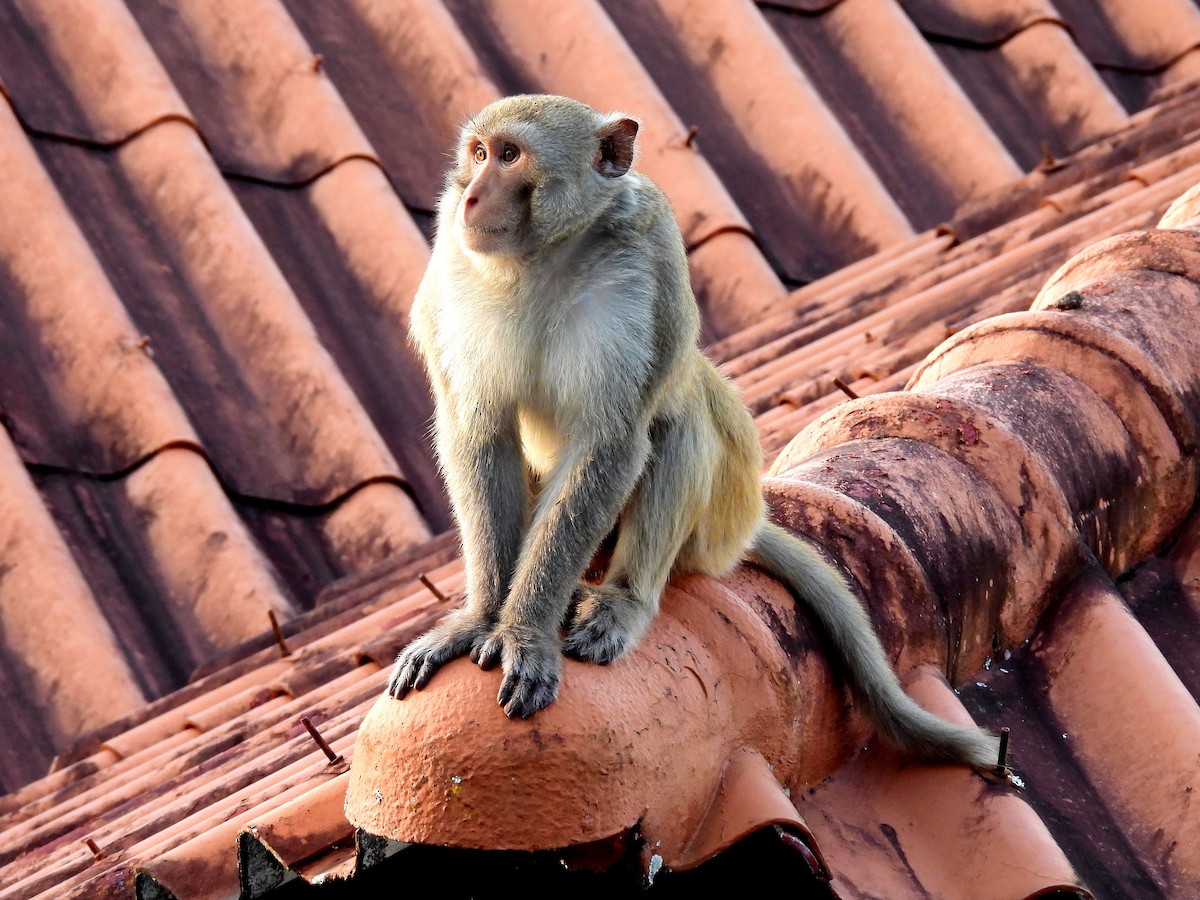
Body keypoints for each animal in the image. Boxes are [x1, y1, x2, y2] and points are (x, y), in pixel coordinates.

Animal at [386, 94, 999, 767]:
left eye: (510, 155)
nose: (470, 197)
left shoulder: (646, 259)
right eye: (477, 154)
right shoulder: (454, 271)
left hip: (715, 522)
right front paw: (482, 618)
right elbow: (482, 433)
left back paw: (625, 601)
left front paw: (526, 631)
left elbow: (613, 439)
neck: (539, 260)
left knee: (682, 423)